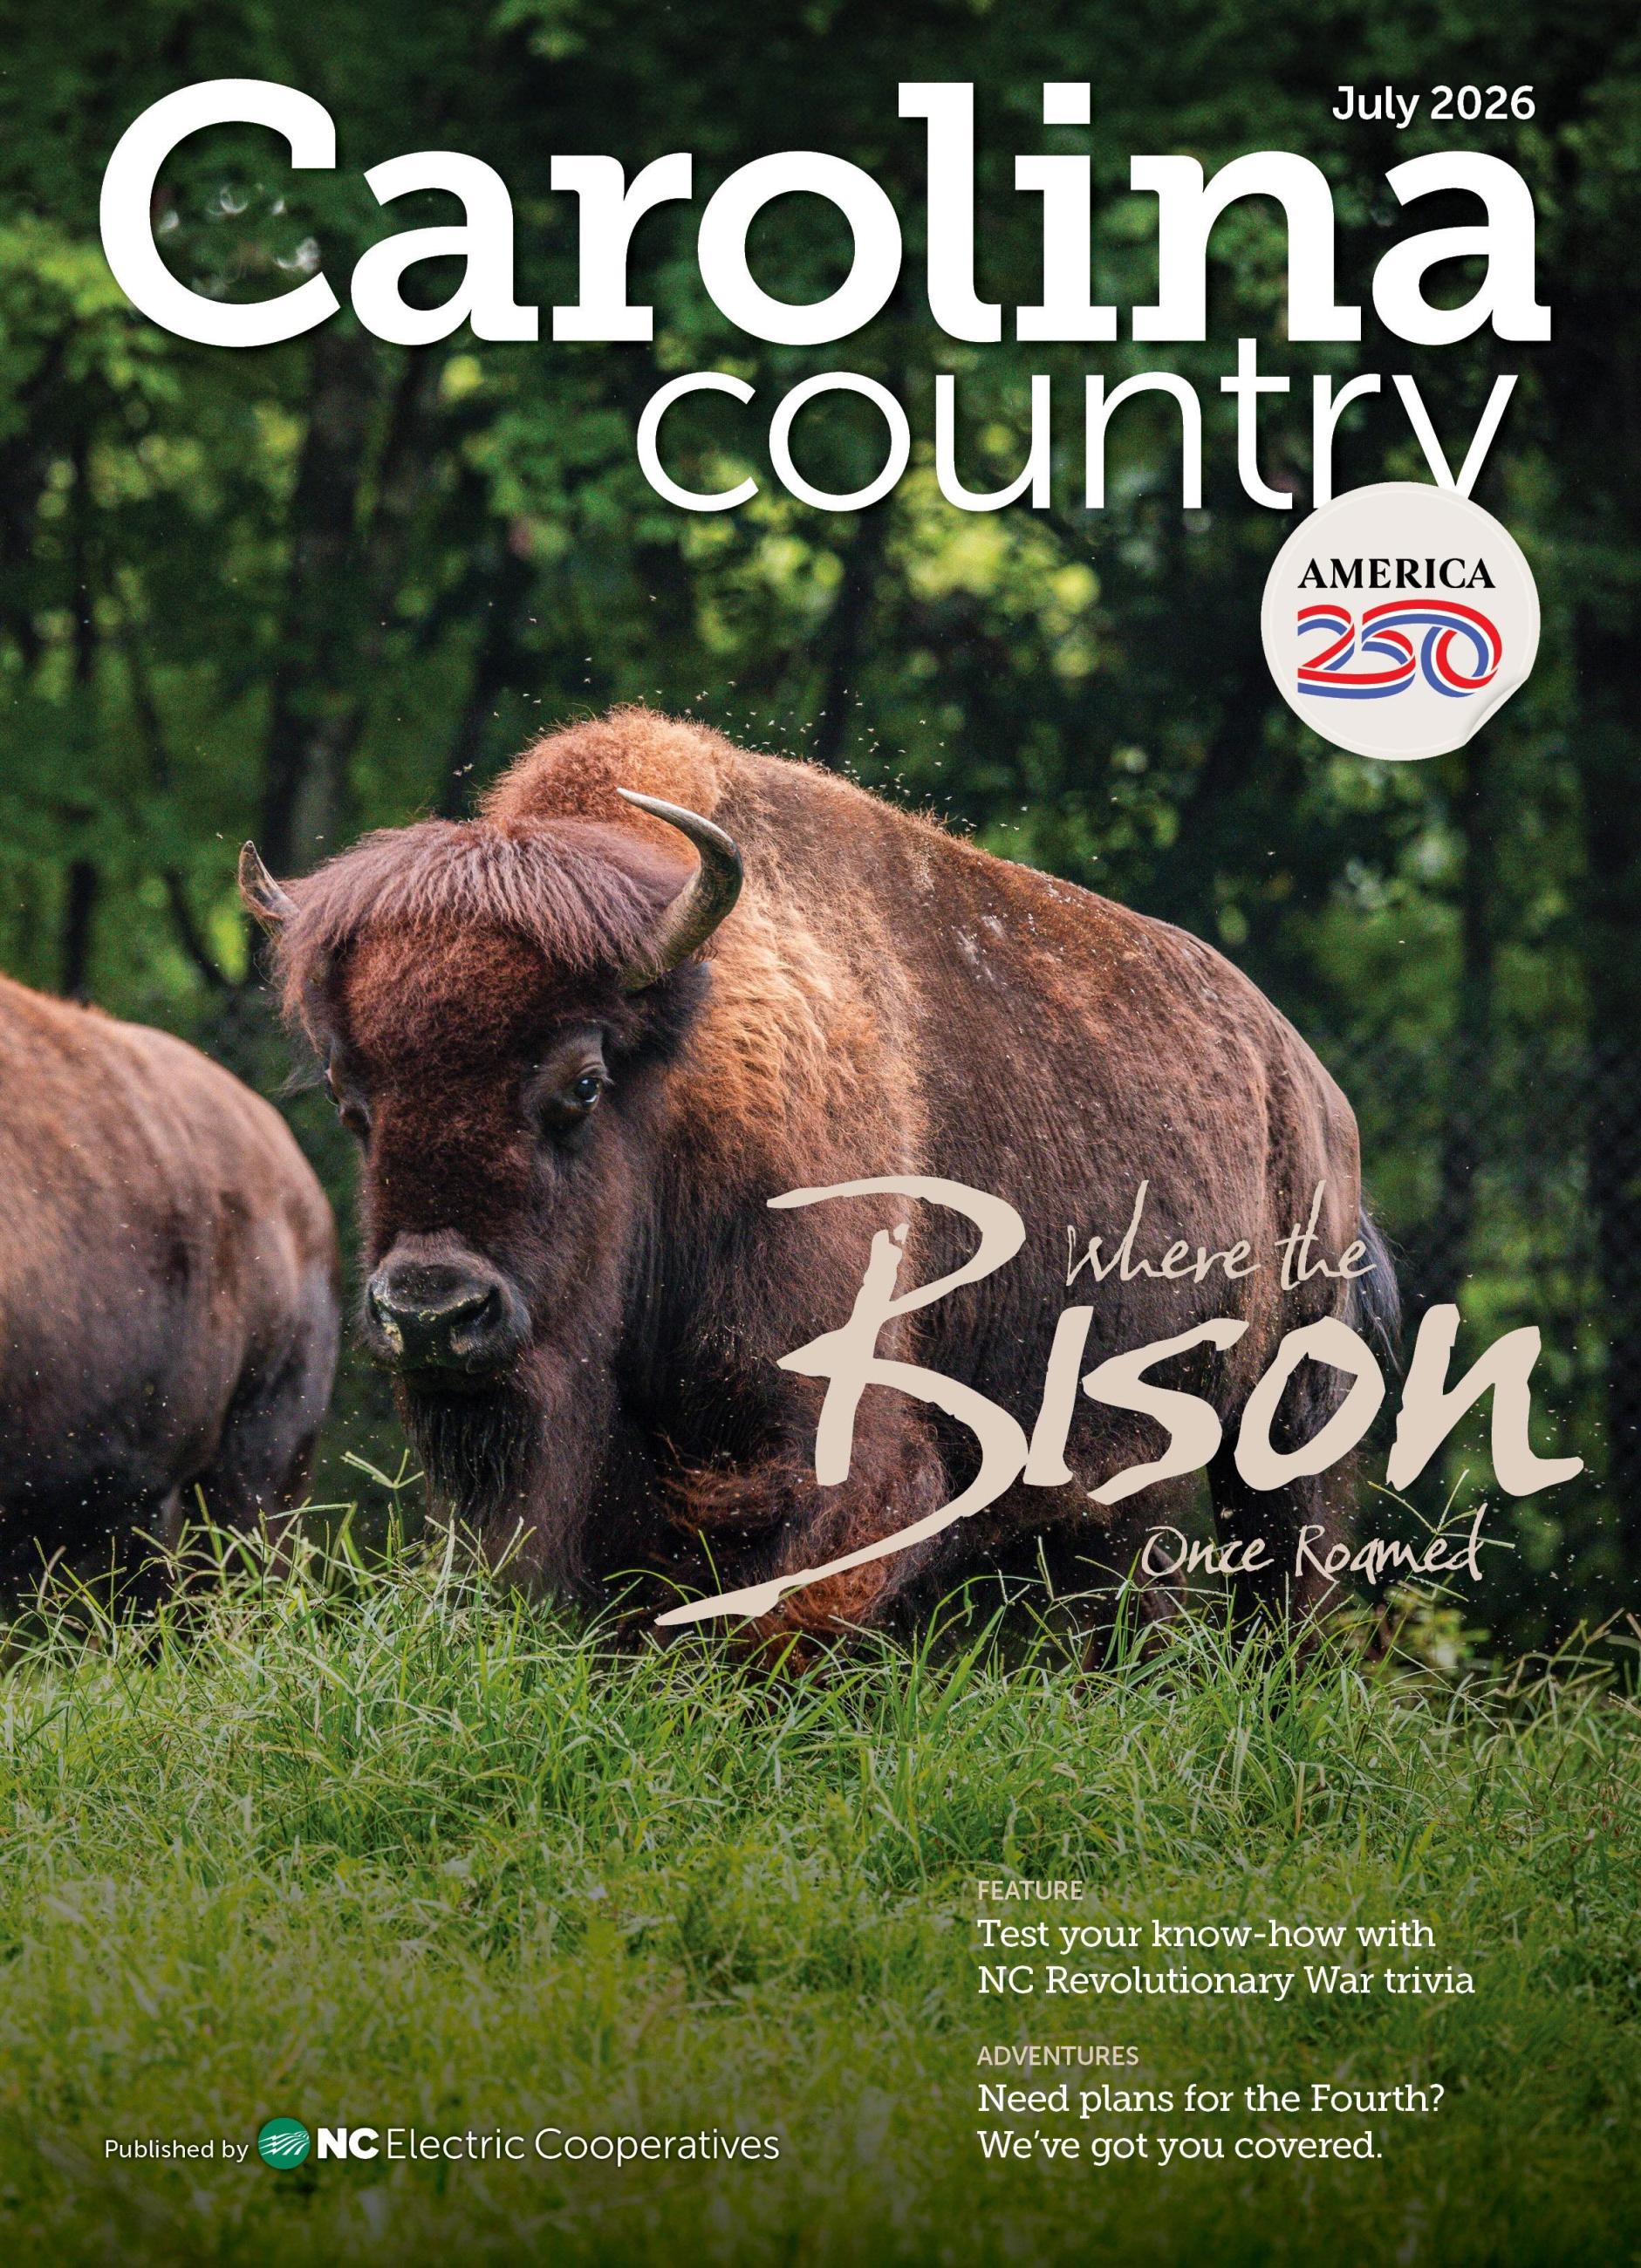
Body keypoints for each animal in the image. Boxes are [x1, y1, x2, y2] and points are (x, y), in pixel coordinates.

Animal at [241, 705, 1395, 1643]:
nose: (433, 1312)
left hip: (1289, 1418)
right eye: (350, 1095)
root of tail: (1309, 1084)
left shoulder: (835, 1451)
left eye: (583, 1081)